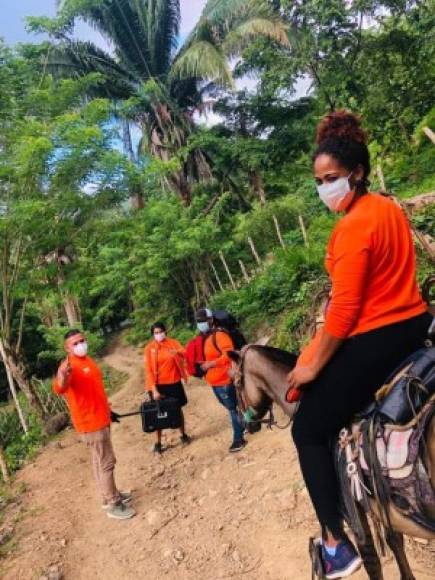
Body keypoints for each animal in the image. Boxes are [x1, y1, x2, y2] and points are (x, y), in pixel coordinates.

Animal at [228, 344, 435, 580]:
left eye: (236, 383)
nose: (246, 424)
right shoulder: (383, 506)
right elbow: (396, 544)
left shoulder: (354, 511)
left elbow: (372, 561)